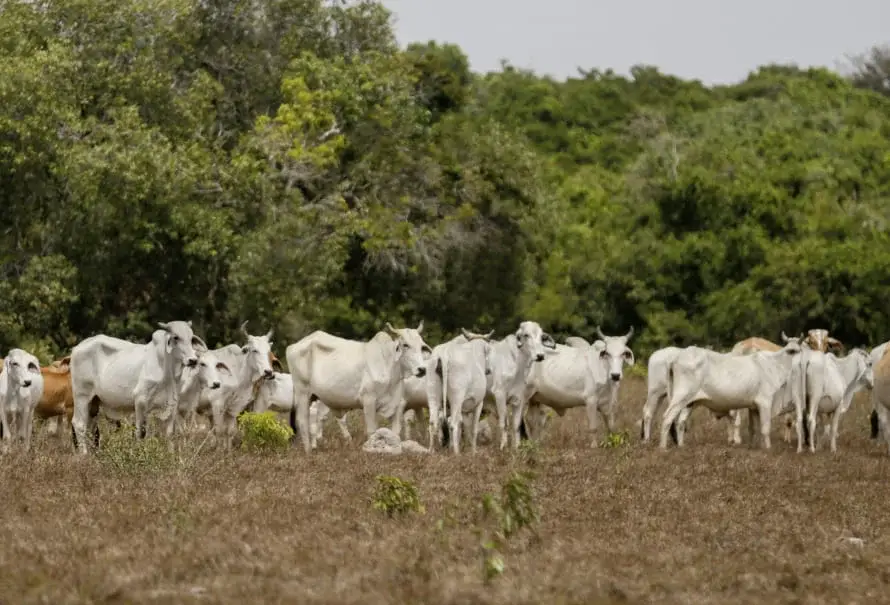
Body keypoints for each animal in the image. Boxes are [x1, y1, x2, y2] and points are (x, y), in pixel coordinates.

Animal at [70, 318, 206, 450]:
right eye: (176, 337)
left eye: (191, 338)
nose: (193, 360)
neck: (168, 371)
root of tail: (77, 347)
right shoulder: (141, 401)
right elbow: (140, 433)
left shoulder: (172, 404)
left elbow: (169, 434)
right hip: (81, 395)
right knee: (79, 425)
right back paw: (84, 454)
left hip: (94, 402)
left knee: (91, 427)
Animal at [286, 320, 428, 452]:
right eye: (405, 345)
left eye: (421, 346)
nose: (422, 369)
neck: (389, 365)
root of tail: (292, 347)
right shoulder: (369, 401)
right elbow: (372, 431)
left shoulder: (397, 404)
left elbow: (395, 432)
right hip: (303, 393)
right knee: (303, 422)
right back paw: (308, 451)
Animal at [660, 336, 804, 448]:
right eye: (792, 351)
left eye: (800, 350)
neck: (774, 365)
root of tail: (676, 358)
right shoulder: (765, 402)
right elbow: (765, 428)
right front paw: (768, 448)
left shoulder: (754, 407)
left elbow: (755, 428)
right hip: (681, 397)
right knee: (667, 418)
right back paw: (663, 448)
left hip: (690, 402)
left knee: (680, 422)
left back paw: (681, 446)